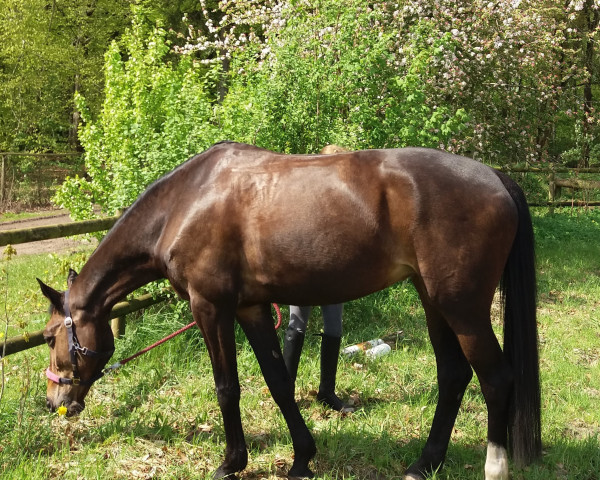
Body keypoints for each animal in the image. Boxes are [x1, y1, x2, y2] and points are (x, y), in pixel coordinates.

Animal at [39, 142, 540, 480]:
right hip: (434, 301)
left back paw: (494, 466)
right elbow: (279, 381)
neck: (185, 203)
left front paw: (231, 463)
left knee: (496, 378)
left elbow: (227, 388)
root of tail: (495, 177)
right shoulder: (252, 308)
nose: (55, 402)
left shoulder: (211, 309)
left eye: (49, 337)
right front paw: (302, 458)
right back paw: (424, 463)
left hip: (463, 307)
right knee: (453, 375)